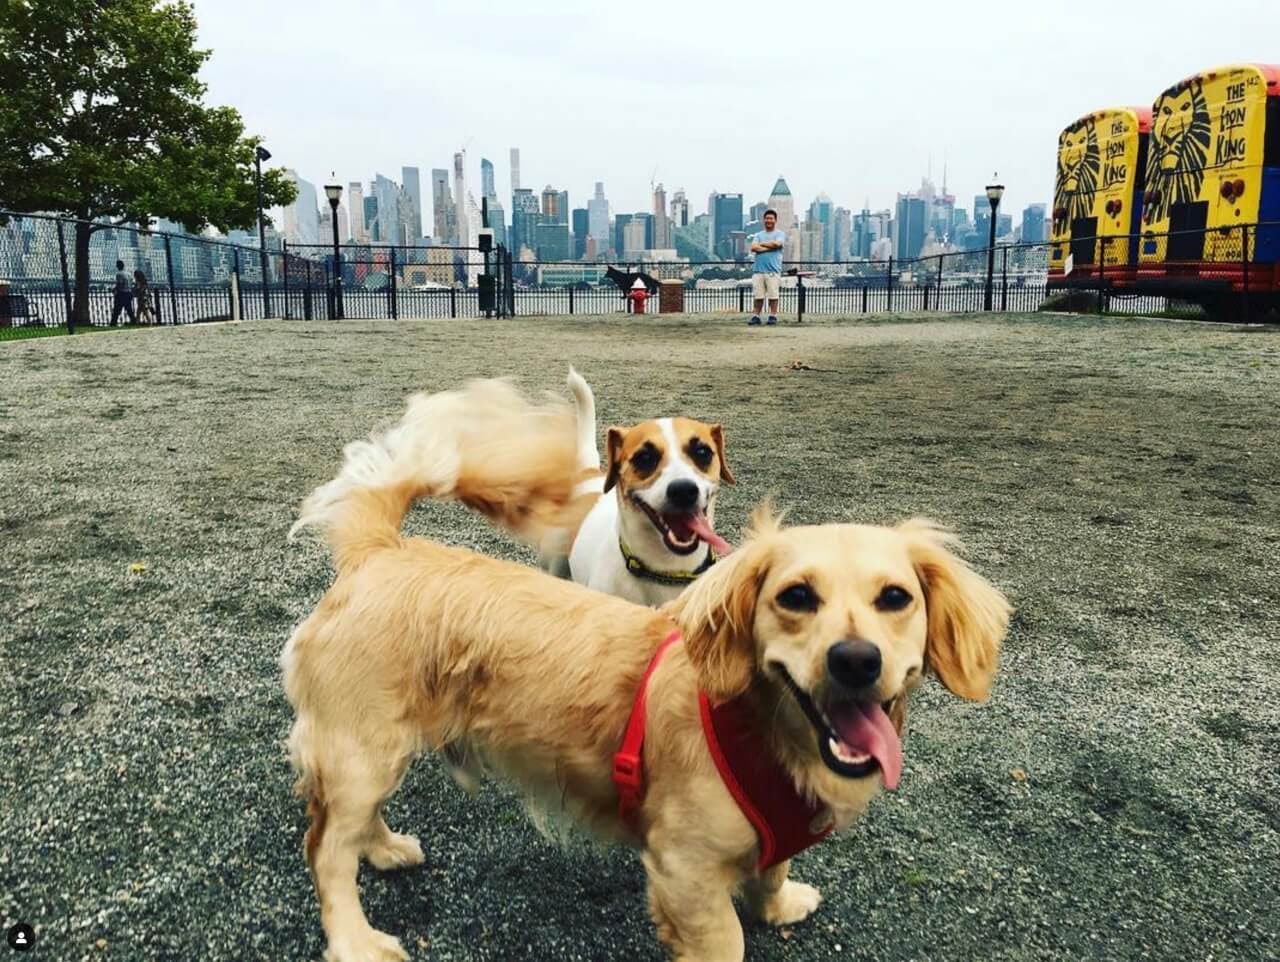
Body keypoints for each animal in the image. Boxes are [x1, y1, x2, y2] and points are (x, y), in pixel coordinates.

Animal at [282, 404, 1008, 956]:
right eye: (796, 597)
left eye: (895, 598)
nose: (856, 660)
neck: (764, 732)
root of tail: (378, 548)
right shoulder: (685, 873)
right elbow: (725, 940)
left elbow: (773, 870)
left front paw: (780, 904)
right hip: (362, 749)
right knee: (325, 850)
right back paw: (356, 940)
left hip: (373, 752)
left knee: (349, 826)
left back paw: (383, 849)